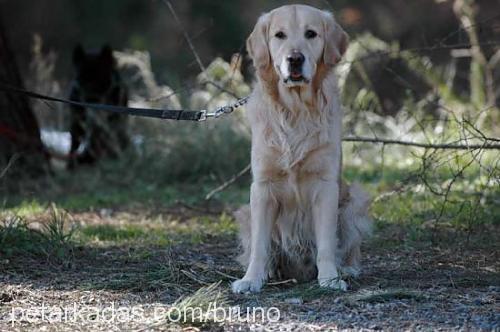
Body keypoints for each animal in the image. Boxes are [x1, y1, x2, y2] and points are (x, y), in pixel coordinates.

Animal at [231, 3, 372, 294]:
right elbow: (260, 246)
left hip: (355, 201)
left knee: (348, 247)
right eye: (279, 35)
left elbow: (327, 244)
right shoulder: (262, 187)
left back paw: (347, 269)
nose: (294, 59)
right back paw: (271, 271)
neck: (295, 111)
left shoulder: (326, 186)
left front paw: (330, 278)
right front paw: (251, 279)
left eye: (311, 34)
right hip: (245, 213)